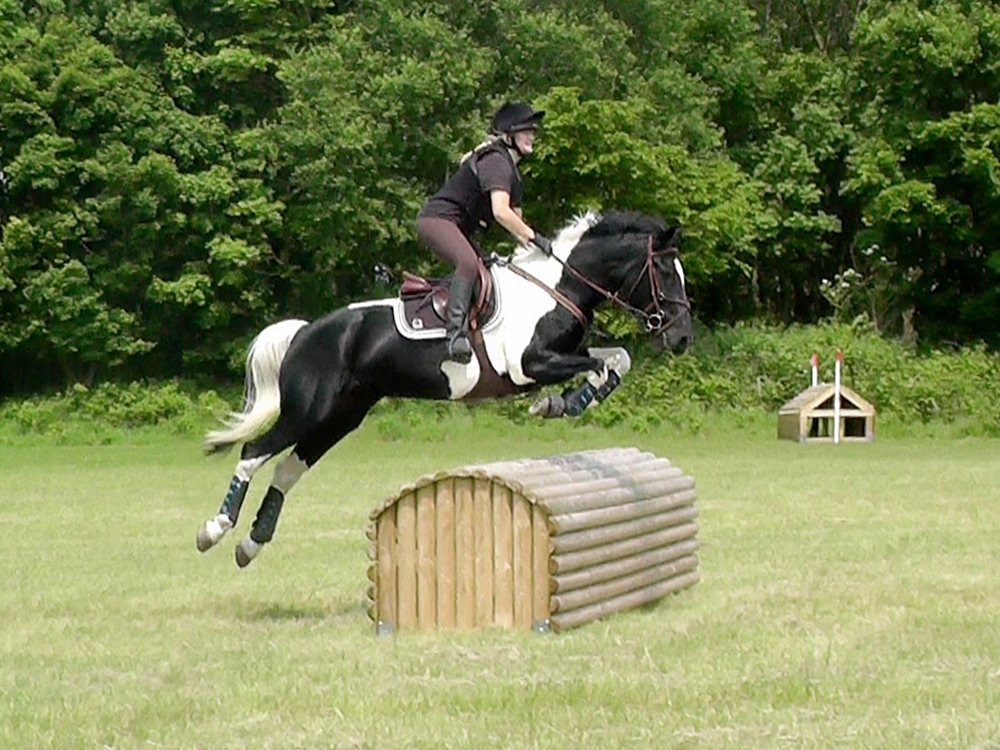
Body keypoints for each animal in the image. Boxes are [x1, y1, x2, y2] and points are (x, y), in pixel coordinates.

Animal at [196, 209, 693, 567]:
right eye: (666, 275)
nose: (682, 338)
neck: (556, 288)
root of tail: (306, 331)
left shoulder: (561, 354)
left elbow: (617, 358)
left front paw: (565, 403)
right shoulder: (531, 364)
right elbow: (604, 364)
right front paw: (559, 403)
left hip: (343, 416)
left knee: (287, 469)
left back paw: (251, 545)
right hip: (310, 409)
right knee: (254, 452)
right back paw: (214, 528)